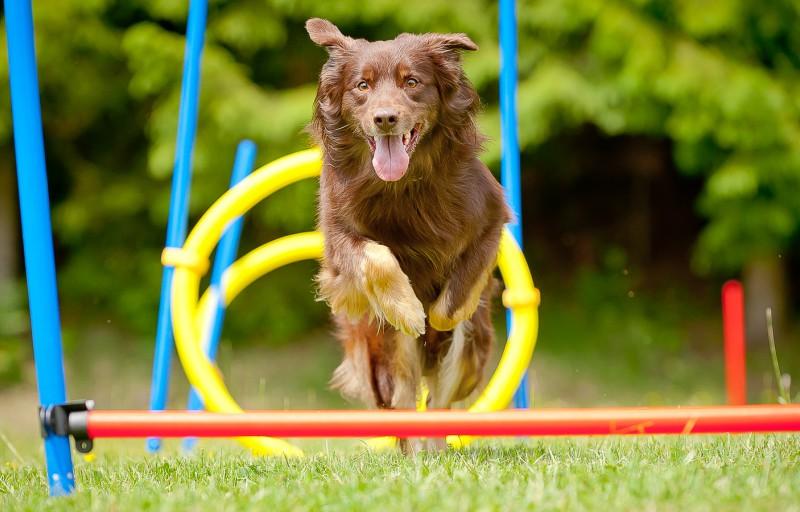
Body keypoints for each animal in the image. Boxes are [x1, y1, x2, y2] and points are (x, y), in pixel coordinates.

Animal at [306, 19, 512, 452]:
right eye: (362, 85)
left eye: (412, 81)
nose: (385, 118)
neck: (402, 185)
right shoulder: (338, 238)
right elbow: (377, 258)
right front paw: (407, 309)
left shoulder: (492, 216)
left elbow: (459, 290)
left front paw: (435, 317)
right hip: (382, 348)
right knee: (402, 398)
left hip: (471, 348)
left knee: (438, 399)